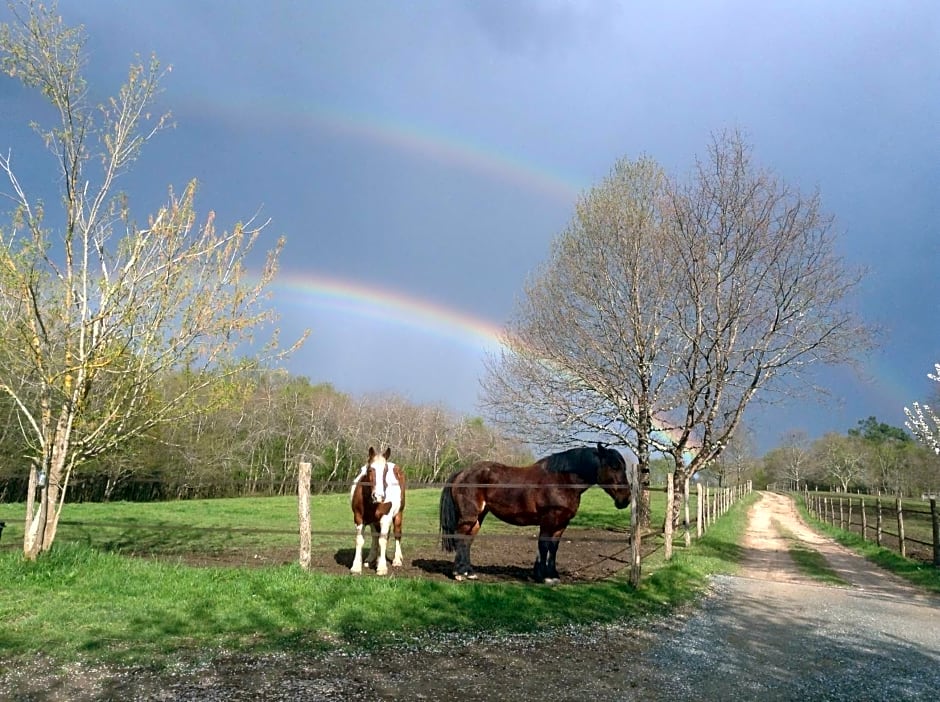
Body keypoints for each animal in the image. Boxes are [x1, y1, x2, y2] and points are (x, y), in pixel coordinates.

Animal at [346, 448, 402, 576]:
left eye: (385, 470)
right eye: (370, 469)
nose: (379, 496)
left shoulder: (385, 518)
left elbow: (383, 540)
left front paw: (382, 567)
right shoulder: (359, 518)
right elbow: (360, 540)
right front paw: (356, 567)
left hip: (398, 514)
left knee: (396, 533)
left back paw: (396, 560)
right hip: (373, 521)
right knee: (375, 536)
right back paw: (371, 559)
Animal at [440, 442, 632, 584]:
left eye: (623, 467)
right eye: (613, 466)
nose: (625, 499)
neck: (561, 481)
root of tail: (462, 473)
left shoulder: (561, 523)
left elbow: (553, 548)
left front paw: (552, 575)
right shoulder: (549, 520)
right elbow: (544, 546)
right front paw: (544, 576)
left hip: (479, 517)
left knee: (467, 541)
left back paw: (469, 572)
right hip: (469, 517)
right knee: (460, 538)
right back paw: (458, 573)